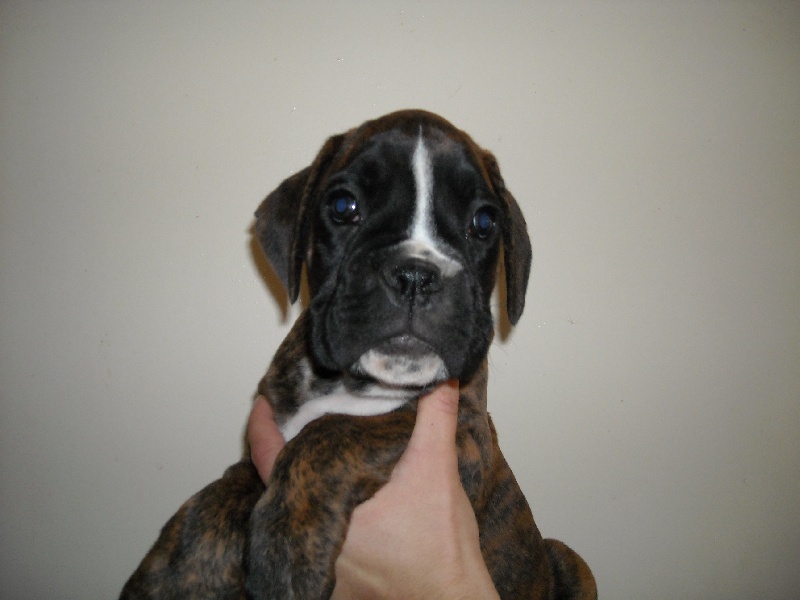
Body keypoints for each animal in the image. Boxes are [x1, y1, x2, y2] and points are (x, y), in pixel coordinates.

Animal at [120, 109, 596, 599]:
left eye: (484, 223)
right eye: (342, 207)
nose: (415, 275)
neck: (348, 382)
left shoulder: (464, 436)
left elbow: (334, 432)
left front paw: (286, 551)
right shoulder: (266, 432)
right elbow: (229, 485)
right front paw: (180, 568)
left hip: (571, 560)